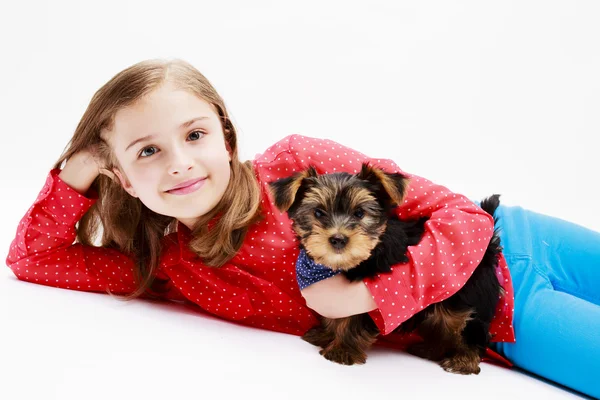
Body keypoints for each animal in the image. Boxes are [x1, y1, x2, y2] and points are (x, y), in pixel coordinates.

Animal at [270, 162, 504, 376]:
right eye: (318, 213)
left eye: (359, 213)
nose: (338, 239)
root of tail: (488, 247)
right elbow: (337, 314)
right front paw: (326, 334)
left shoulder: (365, 294)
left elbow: (352, 319)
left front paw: (342, 350)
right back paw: (429, 349)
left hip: (467, 298)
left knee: (468, 327)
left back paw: (463, 360)